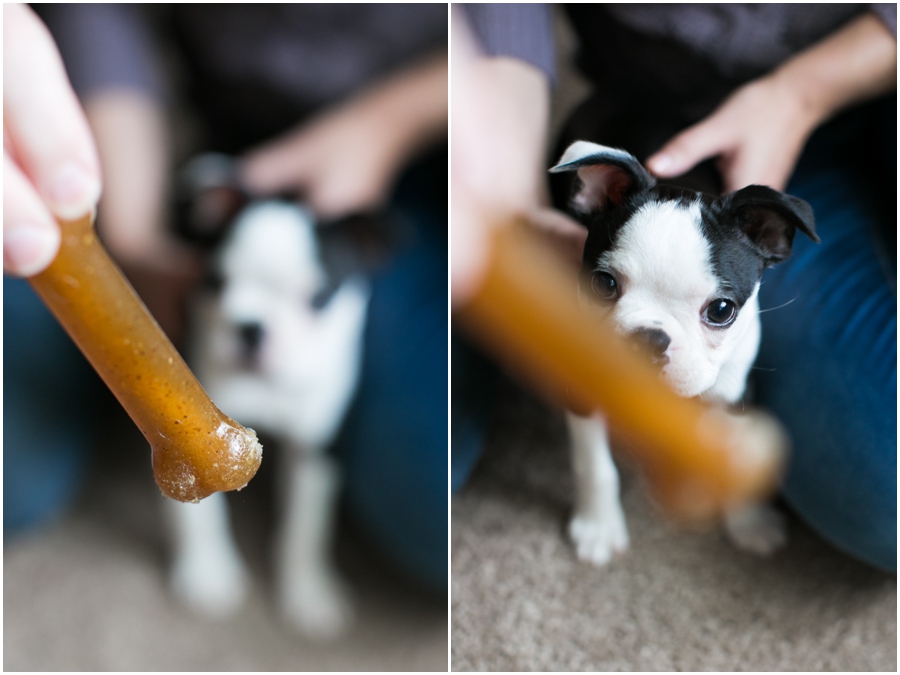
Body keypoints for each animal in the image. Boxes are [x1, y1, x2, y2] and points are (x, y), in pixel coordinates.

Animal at [167, 153, 368, 640]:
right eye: (216, 281)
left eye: (319, 298)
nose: (251, 327)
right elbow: (199, 512)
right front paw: (207, 572)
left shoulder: (317, 447)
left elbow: (308, 522)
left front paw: (310, 591)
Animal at [544, 141, 820, 564]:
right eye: (603, 284)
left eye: (721, 310)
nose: (648, 339)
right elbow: (596, 466)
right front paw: (598, 527)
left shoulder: (734, 395)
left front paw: (751, 524)